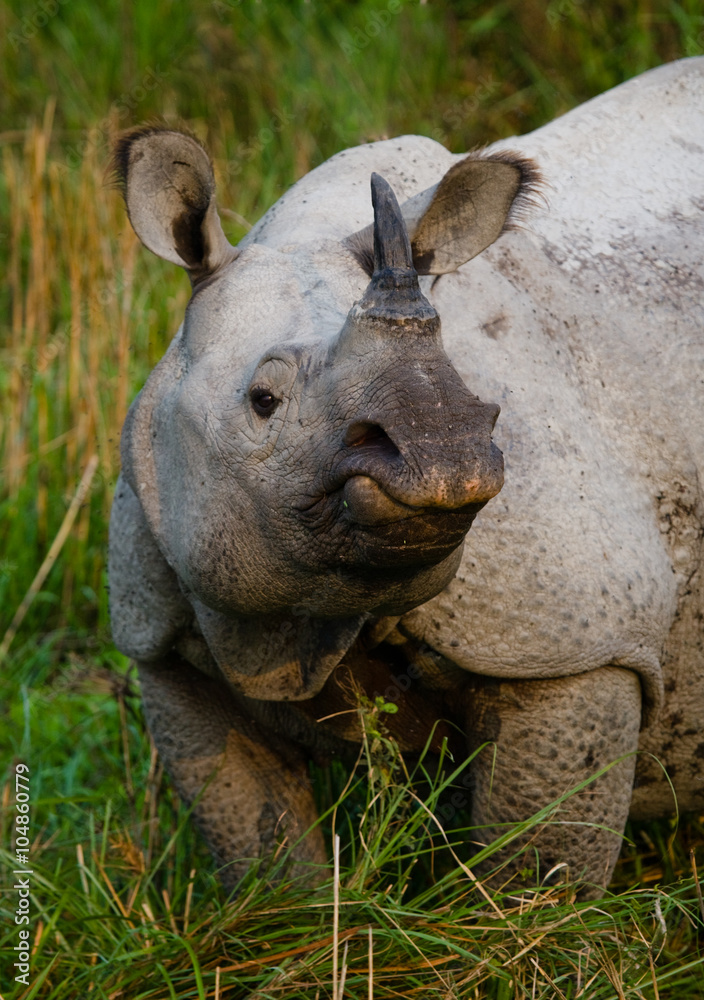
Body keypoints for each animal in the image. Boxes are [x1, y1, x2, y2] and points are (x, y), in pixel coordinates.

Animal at [109, 58, 704, 893]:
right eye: (263, 401)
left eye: (468, 392)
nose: (444, 455)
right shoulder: (159, 637)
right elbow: (257, 839)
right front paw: (290, 922)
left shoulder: (575, 641)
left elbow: (538, 864)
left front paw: (519, 925)